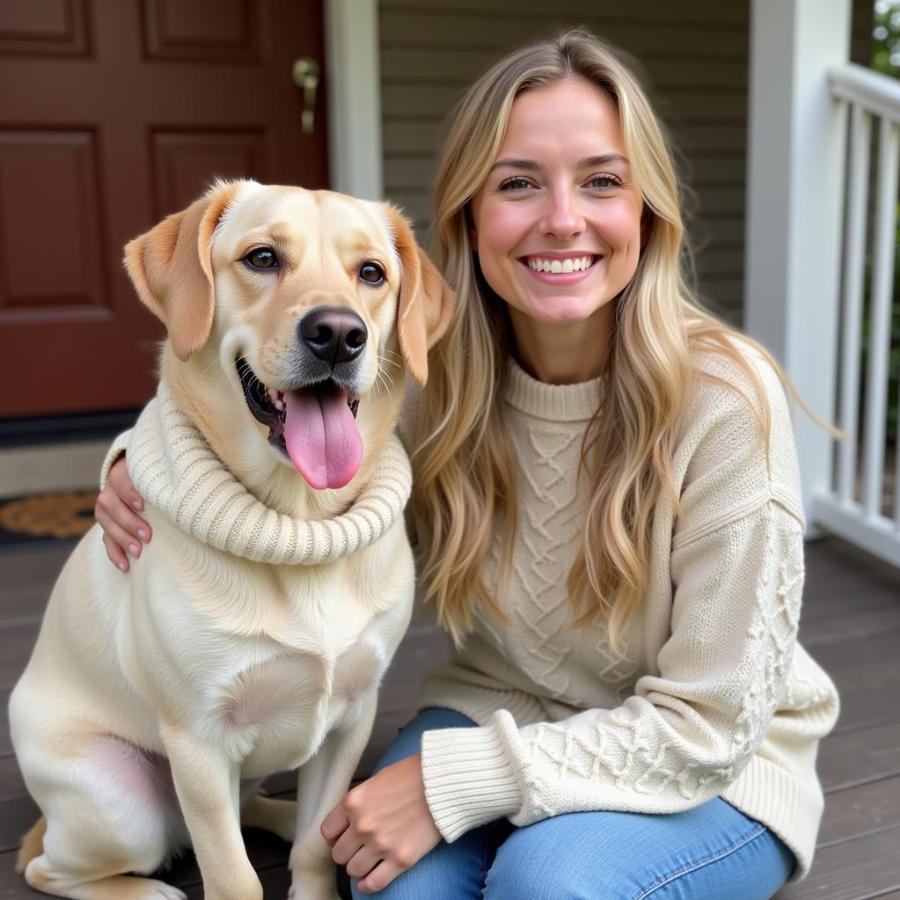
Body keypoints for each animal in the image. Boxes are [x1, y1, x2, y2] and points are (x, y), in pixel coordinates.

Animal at [10, 181, 454, 900]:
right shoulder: (197, 741)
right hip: (122, 804)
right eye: (263, 257)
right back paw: (146, 890)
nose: (339, 335)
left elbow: (315, 844)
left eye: (371, 273)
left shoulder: (351, 716)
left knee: (256, 810)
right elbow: (232, 873)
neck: (300, 521)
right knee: (49, 867)